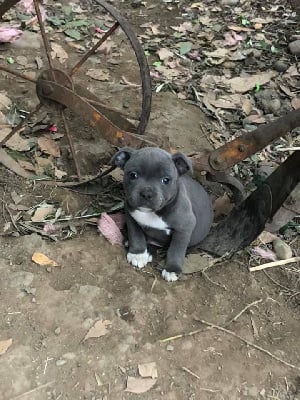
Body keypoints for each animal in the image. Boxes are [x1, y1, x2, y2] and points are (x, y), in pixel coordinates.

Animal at [112, 147, 213, 282]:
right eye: (133, 175)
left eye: (166, 180)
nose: (147, 193)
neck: (153, 213)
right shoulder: (131, 215)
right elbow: (136, 235)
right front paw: (138, 253)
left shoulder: (184, 228)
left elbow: (176, 249)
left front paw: (172, 269)